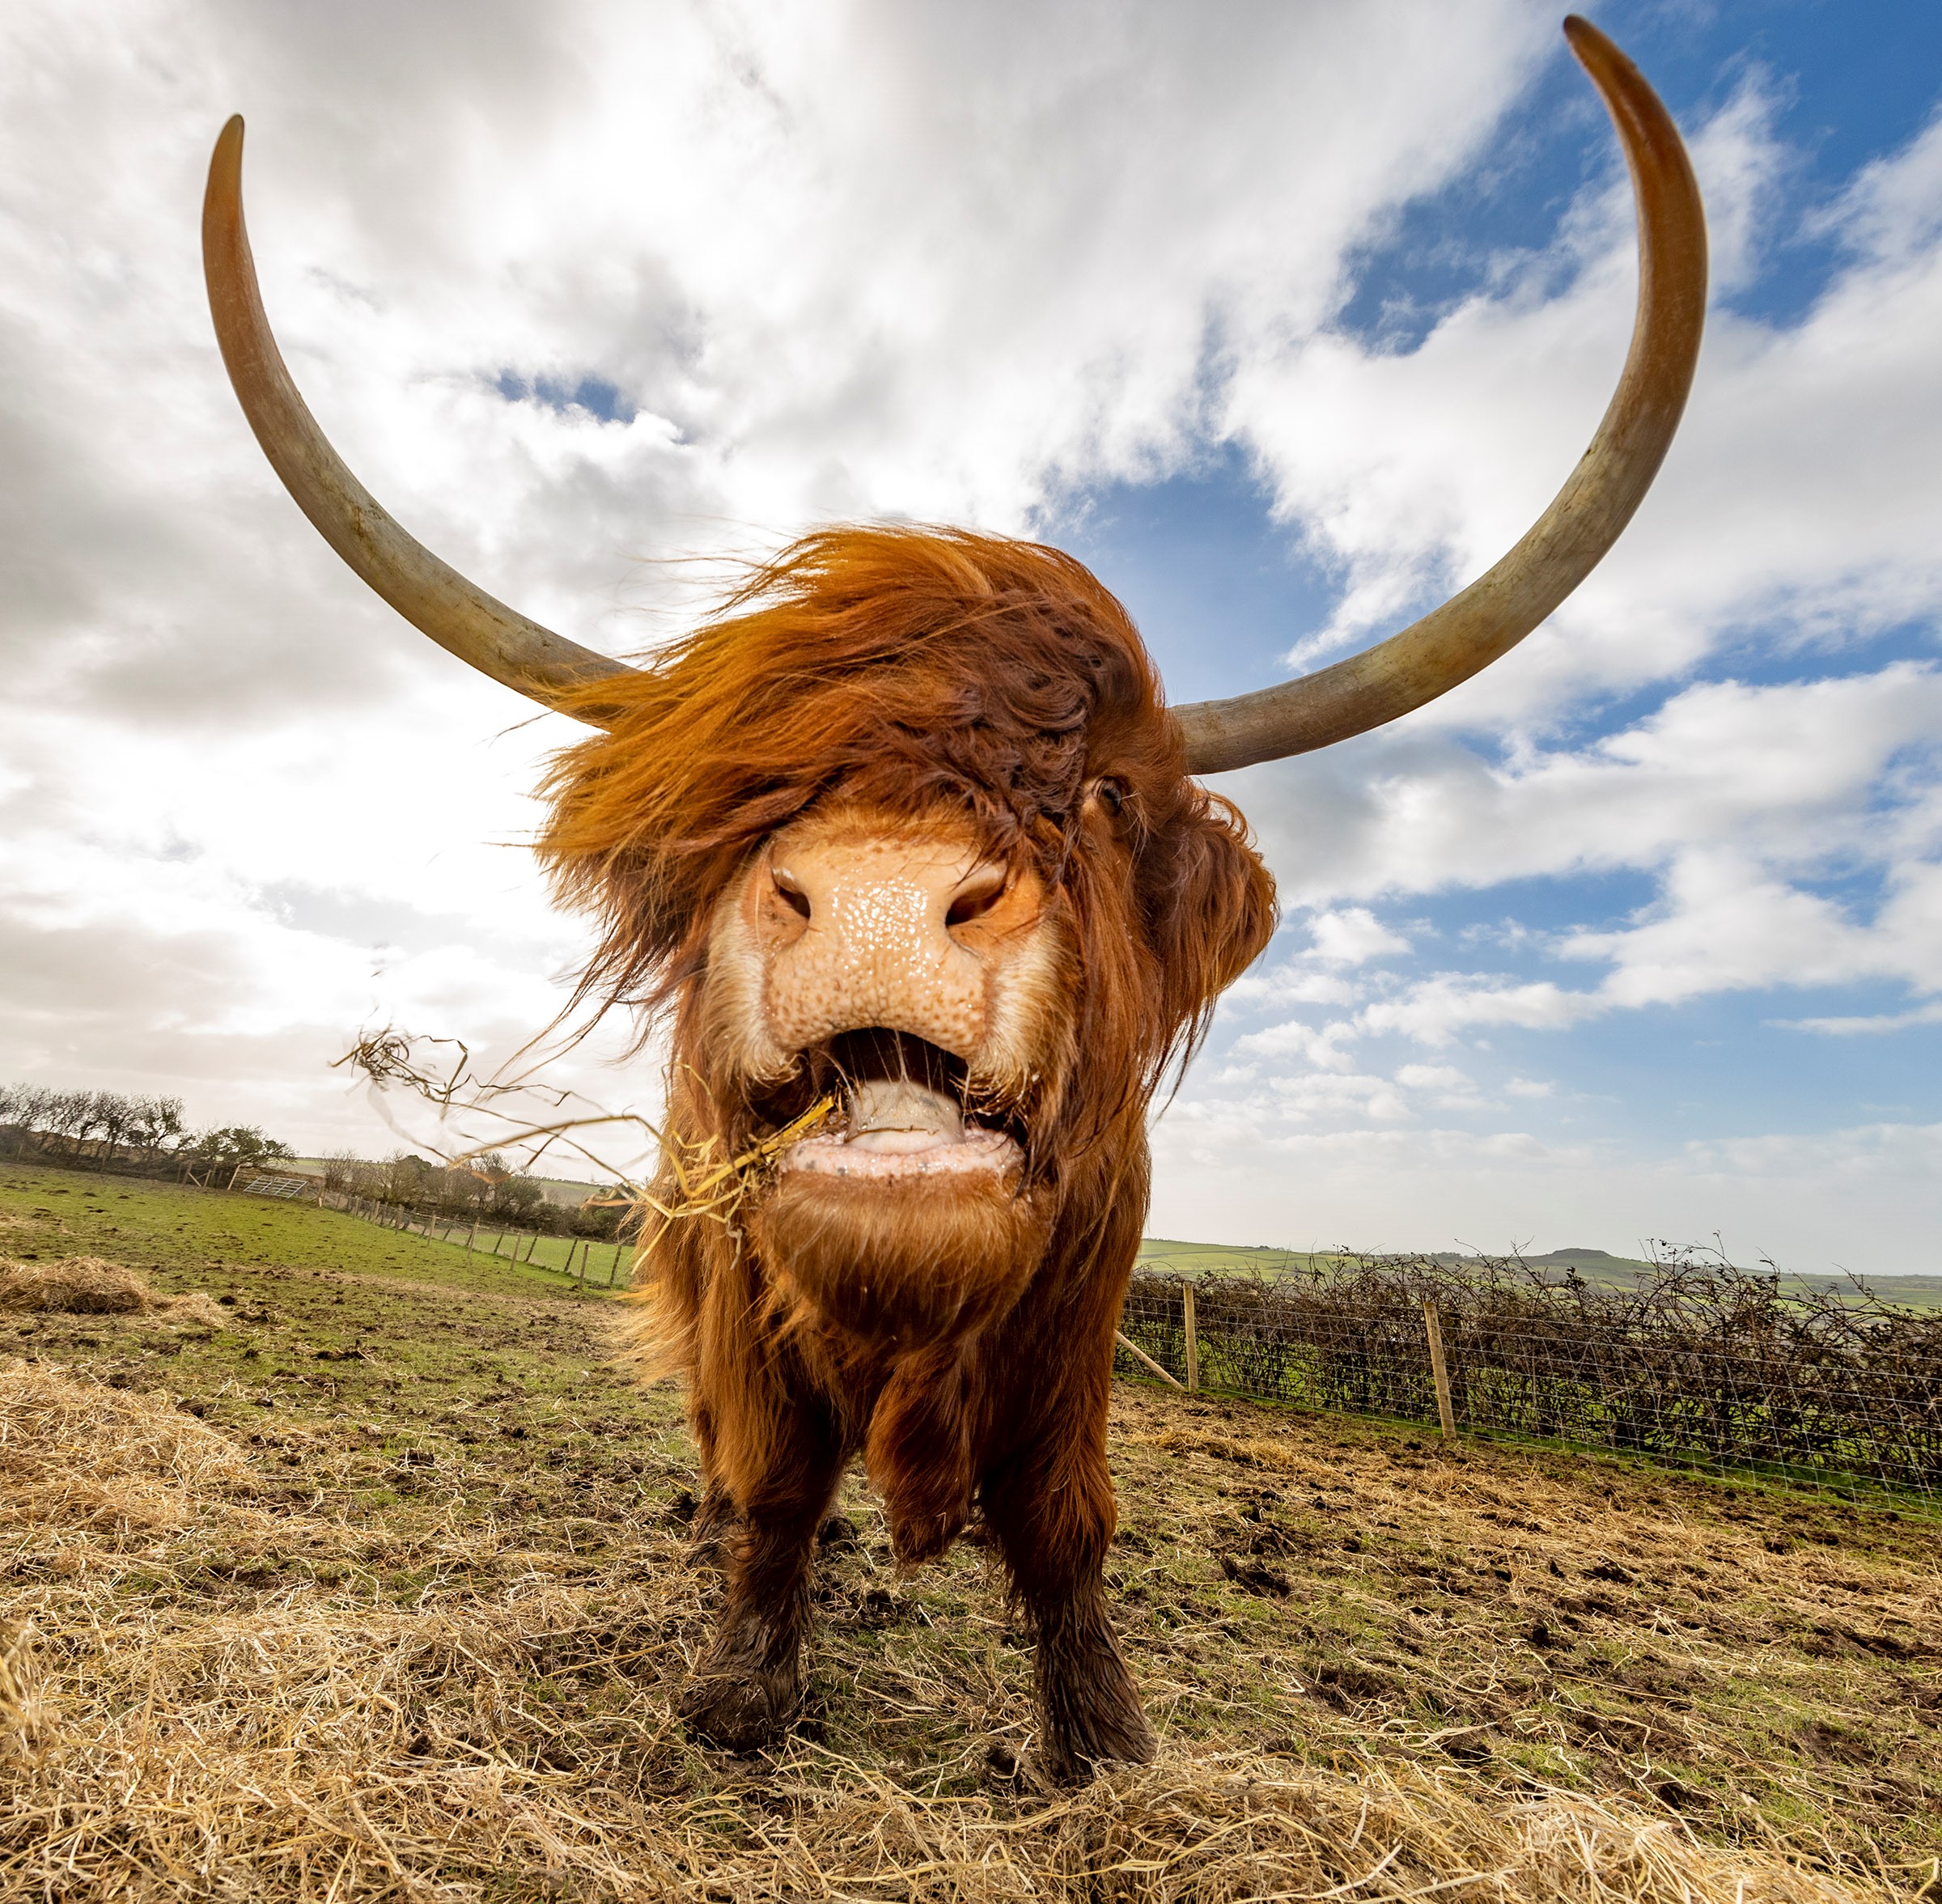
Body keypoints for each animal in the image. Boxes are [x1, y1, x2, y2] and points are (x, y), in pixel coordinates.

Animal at [201, 17, 1704, 1781]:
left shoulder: (1085, 1315)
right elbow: (777, 1483)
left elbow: (1062, 1519)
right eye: (741, 813)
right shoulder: (751, 1305)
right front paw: (741, 1689)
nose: (876, 897)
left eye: (1100, 798)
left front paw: (1099, 1732)